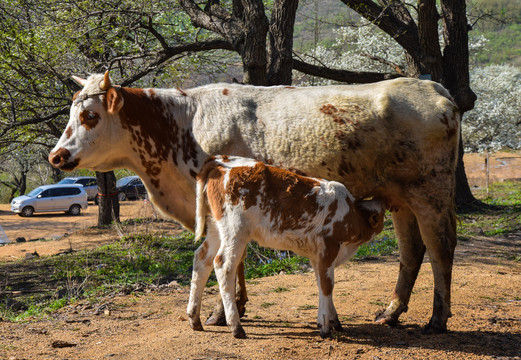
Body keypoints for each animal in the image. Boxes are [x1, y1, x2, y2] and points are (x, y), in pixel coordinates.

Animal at [191, 155, 386, 338]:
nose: (384, 201)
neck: (351, 213)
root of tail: (219, 160)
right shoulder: (328, 247)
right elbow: (327, 285)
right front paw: (325, 327)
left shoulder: (317, 257)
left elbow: (321, 283)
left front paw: (333, 320)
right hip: (235, 231)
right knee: (223, 265)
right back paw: (236, 327)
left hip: (216, 228)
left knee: (202, 260)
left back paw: (194, 319)